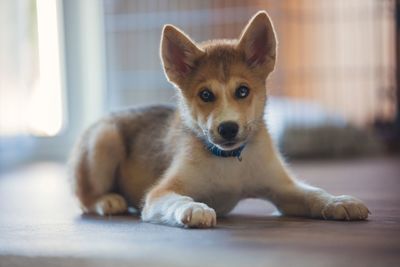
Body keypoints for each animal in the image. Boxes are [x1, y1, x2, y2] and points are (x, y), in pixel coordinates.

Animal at [68, 10, 368, 228]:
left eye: (243, 91)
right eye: (205, 94)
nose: (228, 129)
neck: (229, 162)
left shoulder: (283, 188)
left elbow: (313, 193)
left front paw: (339, 202)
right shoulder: (159, 194)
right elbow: (177, 200)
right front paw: (193, 208)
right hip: (104, 139)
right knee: (84, 198)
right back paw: (107, 201)